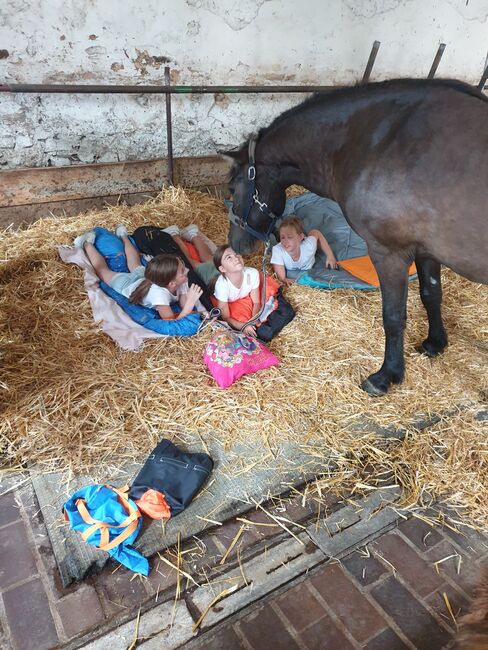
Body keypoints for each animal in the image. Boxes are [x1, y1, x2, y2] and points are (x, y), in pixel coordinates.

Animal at [223, 79, 488, 394]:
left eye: (233, 188)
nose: (235, 244)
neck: (374, 143)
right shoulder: (425, 250)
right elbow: (431, 295)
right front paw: (435, 343)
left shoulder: (389, 253)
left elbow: (393, 317)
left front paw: (387, 375)